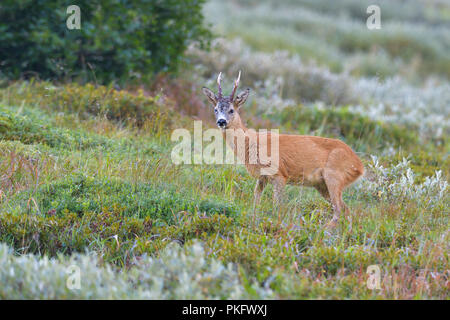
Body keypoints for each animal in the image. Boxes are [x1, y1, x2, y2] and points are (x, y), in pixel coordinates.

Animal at [202, 72, 364, 228]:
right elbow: (256, 200)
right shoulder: (262, 177)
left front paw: (275, 223)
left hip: (334, 177)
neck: (252, 143)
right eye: (215, 109)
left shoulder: (279, 174)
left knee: (338, 210)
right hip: (322, 185)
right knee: (346, 210)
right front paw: (254, 219)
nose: (221, 121)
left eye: (231, 110)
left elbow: (277, 205)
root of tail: (360, 166)